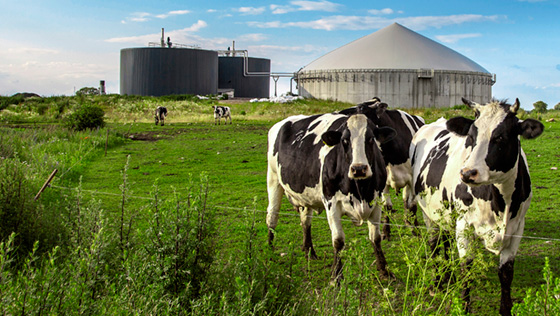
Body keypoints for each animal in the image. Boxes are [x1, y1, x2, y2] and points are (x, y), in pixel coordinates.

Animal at [268, 112, 396, 280]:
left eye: (370, 139)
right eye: (344, 140)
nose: (359, 169)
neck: (360, 191)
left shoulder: (376, 201)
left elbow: (376, 238)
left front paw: (384, 270)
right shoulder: (331, 203)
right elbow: (338, 240)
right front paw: (336, 275)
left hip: (305, 197)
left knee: (305, 221)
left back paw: (309, 251)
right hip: (273, 179)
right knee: (272, 217)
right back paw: (269, 251)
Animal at [336, 97, 424, 241]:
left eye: (361, 108)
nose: (339, 113)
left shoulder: (412, 179)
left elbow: (412, 205)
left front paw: (416, 230)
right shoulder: (383, 181)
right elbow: (387, 206)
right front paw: (385, 232)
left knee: (407, 201)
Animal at [410, 97, 544, 314]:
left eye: (501, 137)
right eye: (471, 137)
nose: (467, 173)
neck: (501, 202)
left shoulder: (517, 228)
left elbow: (506, 273)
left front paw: (505, 309)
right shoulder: (464, 225)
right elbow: (467, 269)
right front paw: (464, 307)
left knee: (445, 240)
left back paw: (447, 276)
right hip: (427, 212)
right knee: (434, 244)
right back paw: (437, 282)